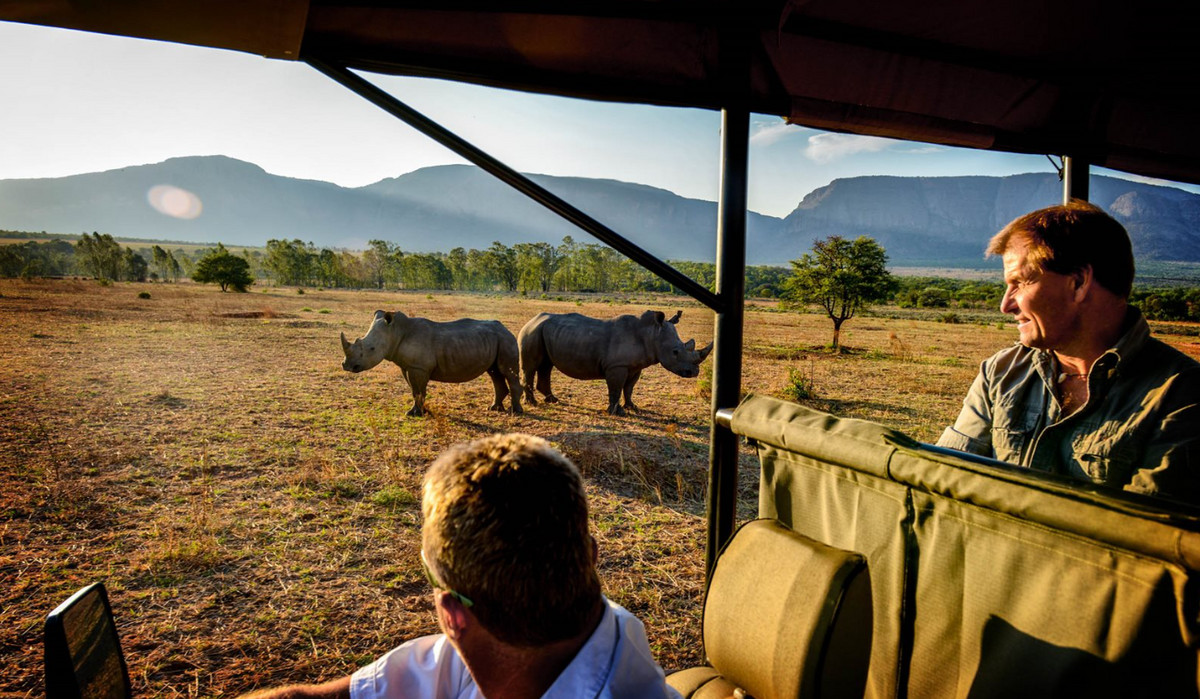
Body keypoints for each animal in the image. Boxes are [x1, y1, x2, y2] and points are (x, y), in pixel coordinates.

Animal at [340, 309, 523, 420]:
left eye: (371, 349)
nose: (347, 366)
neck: (396, 332)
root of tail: (506, 328)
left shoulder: (418, 367)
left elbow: (419, 391)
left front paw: (415, 414)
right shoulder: (408, 366)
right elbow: (415, 391)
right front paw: (419, 412)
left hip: (506, 339)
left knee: (507, 372)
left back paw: (515, 412)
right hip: (495, 340)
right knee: (495, 373)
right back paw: (494, 408)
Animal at [518, 307, 710, 415]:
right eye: (675, 352)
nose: (694, 372)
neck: (651, 334)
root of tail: (532, 319)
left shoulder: (635, 367)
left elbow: (629, 388)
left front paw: (633, 407)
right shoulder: (616, 366)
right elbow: (616, 389)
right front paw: (617, 413)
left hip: (544, 332)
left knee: (546, 365)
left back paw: (552, 400)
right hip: (532, 332)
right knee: (531, 367)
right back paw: (533, 403)